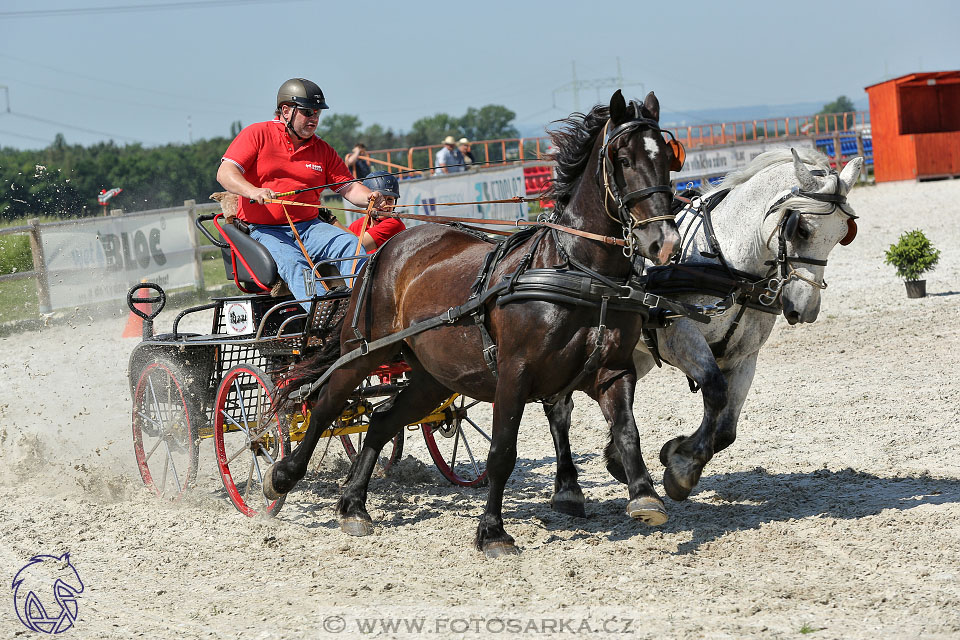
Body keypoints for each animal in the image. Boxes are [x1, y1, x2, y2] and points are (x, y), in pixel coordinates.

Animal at [262, 90, 684, 556]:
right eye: (623, 159)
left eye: (669, 157)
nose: (664, 242)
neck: (579, 271)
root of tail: (387, 248)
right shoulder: (515, 373)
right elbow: (502, 451)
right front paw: (493, 531)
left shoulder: (613, 370)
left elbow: (627, 431)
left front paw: (645, 495)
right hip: (365, 351)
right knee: (325, 407)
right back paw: (281, 477)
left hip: (433, 375)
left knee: (382, 419)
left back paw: (353, 505)